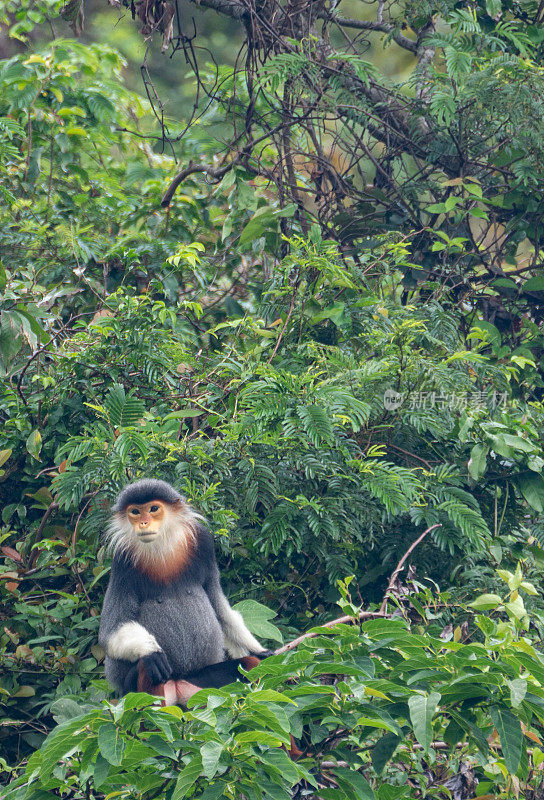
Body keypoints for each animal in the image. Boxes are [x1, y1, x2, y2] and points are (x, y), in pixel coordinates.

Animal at [100, 478, 268, 704]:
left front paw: (263, 651)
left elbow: (222, 613)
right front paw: (151, 650)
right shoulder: (121, 562)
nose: (143, 523)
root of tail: (180, 684)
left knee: (250, 663)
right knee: (149, 668)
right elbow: (110, 632)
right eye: (135, 512)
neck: (161, 547)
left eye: (153, 509)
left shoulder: (204, 543)